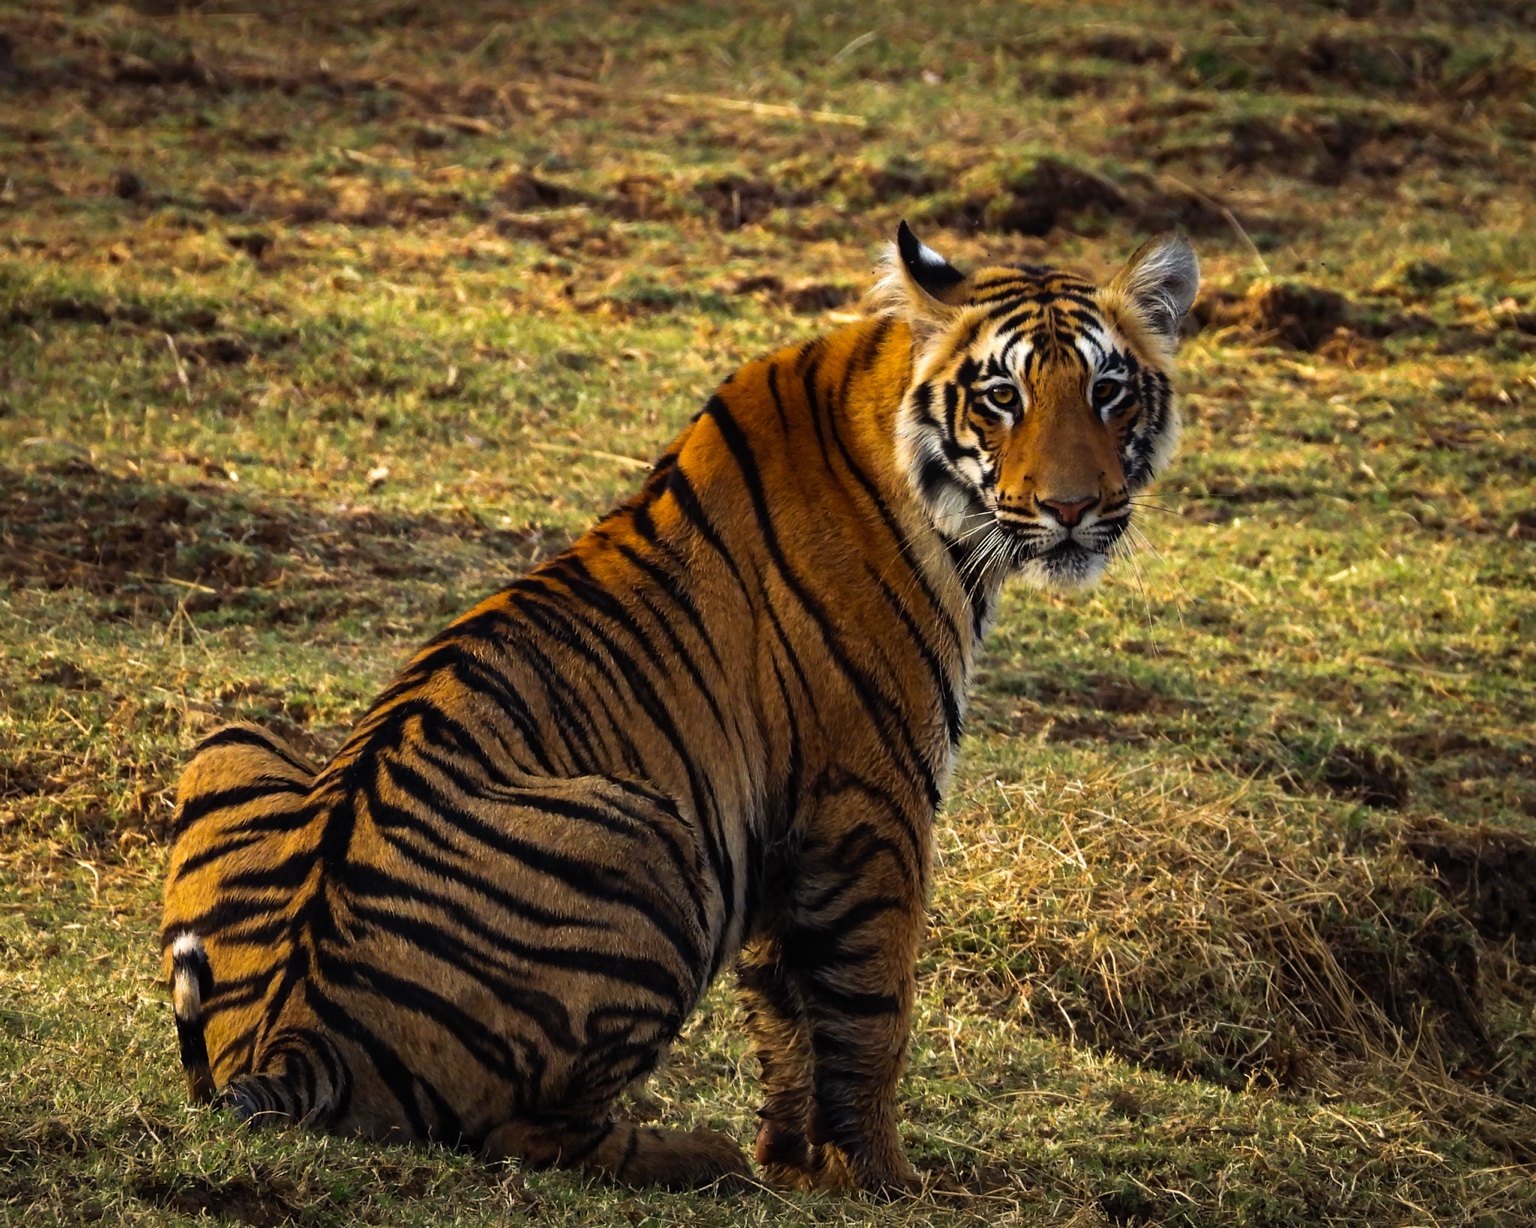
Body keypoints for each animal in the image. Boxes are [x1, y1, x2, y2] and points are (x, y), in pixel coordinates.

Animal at [162, 222, 1198, 1194]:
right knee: (522, 1134)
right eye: (1002, 396)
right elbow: (871, 1009)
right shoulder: (873, 801)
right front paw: (884, 1180)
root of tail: (294, 1037)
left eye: (1109, 391)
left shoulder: (783, 831)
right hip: (655, 838)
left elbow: (786, 1012)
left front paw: (798, 1164)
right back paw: (699, 1155)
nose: (1073, 508)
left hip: (231, 738)